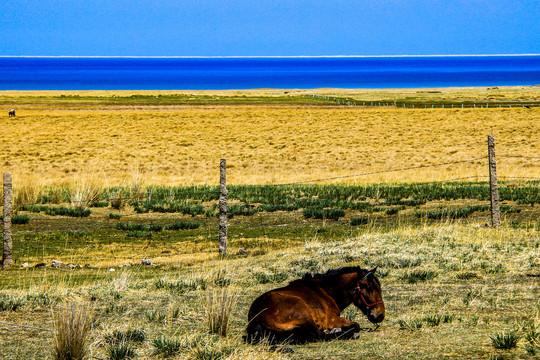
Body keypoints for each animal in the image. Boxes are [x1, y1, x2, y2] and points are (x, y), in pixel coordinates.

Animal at [245, 266, 384, 344]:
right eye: (368, 287)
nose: (380, 315)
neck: (325, 290)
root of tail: (256, 318)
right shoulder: (331, 319)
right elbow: (356, 325)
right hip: (303, 312)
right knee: (320, 336)